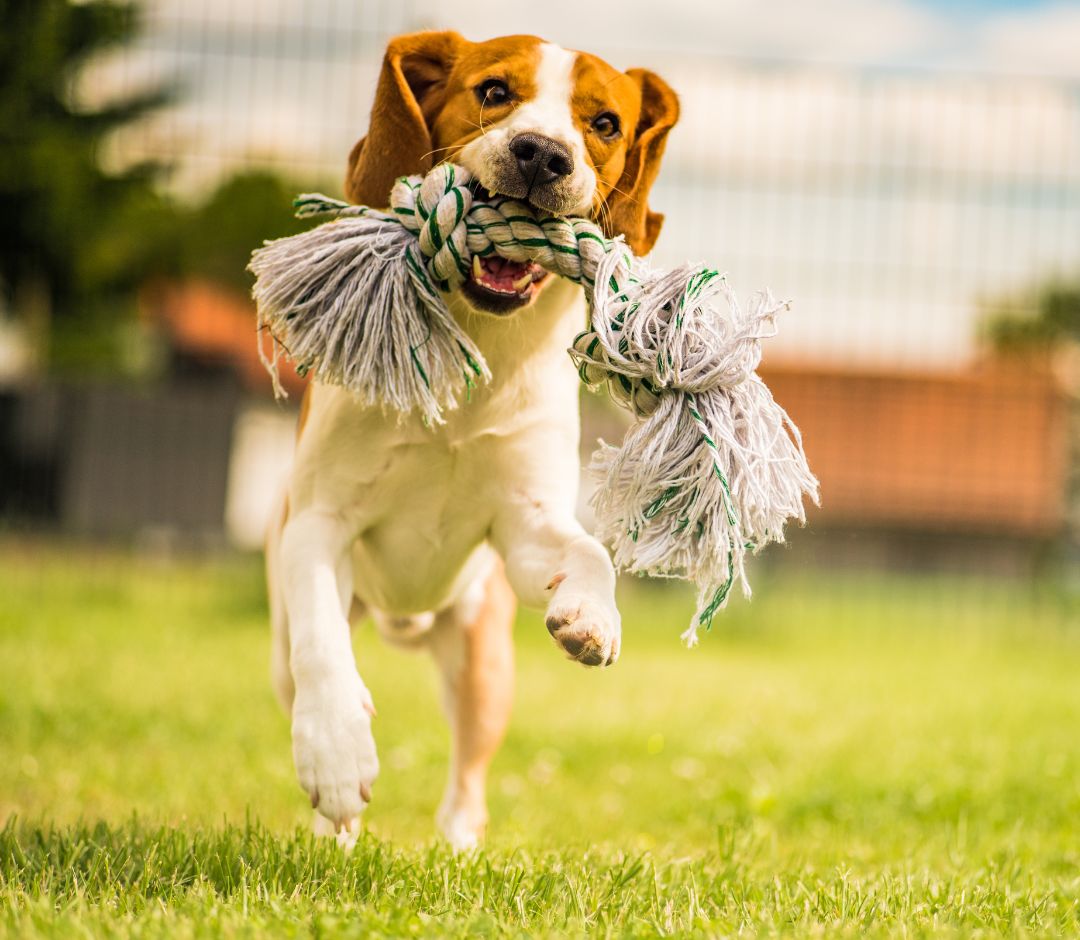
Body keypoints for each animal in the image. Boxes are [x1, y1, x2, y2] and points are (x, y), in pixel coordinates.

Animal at [266, 31, 678, 855]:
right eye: (493, 92)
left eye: (605, 123)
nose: (542, 154)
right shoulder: (318, 520)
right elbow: (323, 647)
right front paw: (336, 756)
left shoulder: (522, 526)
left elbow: (588, 550)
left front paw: (593, 615)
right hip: (285, 647)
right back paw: (336, 831)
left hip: (483, 663)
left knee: (468, 779)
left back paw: (457, 850)